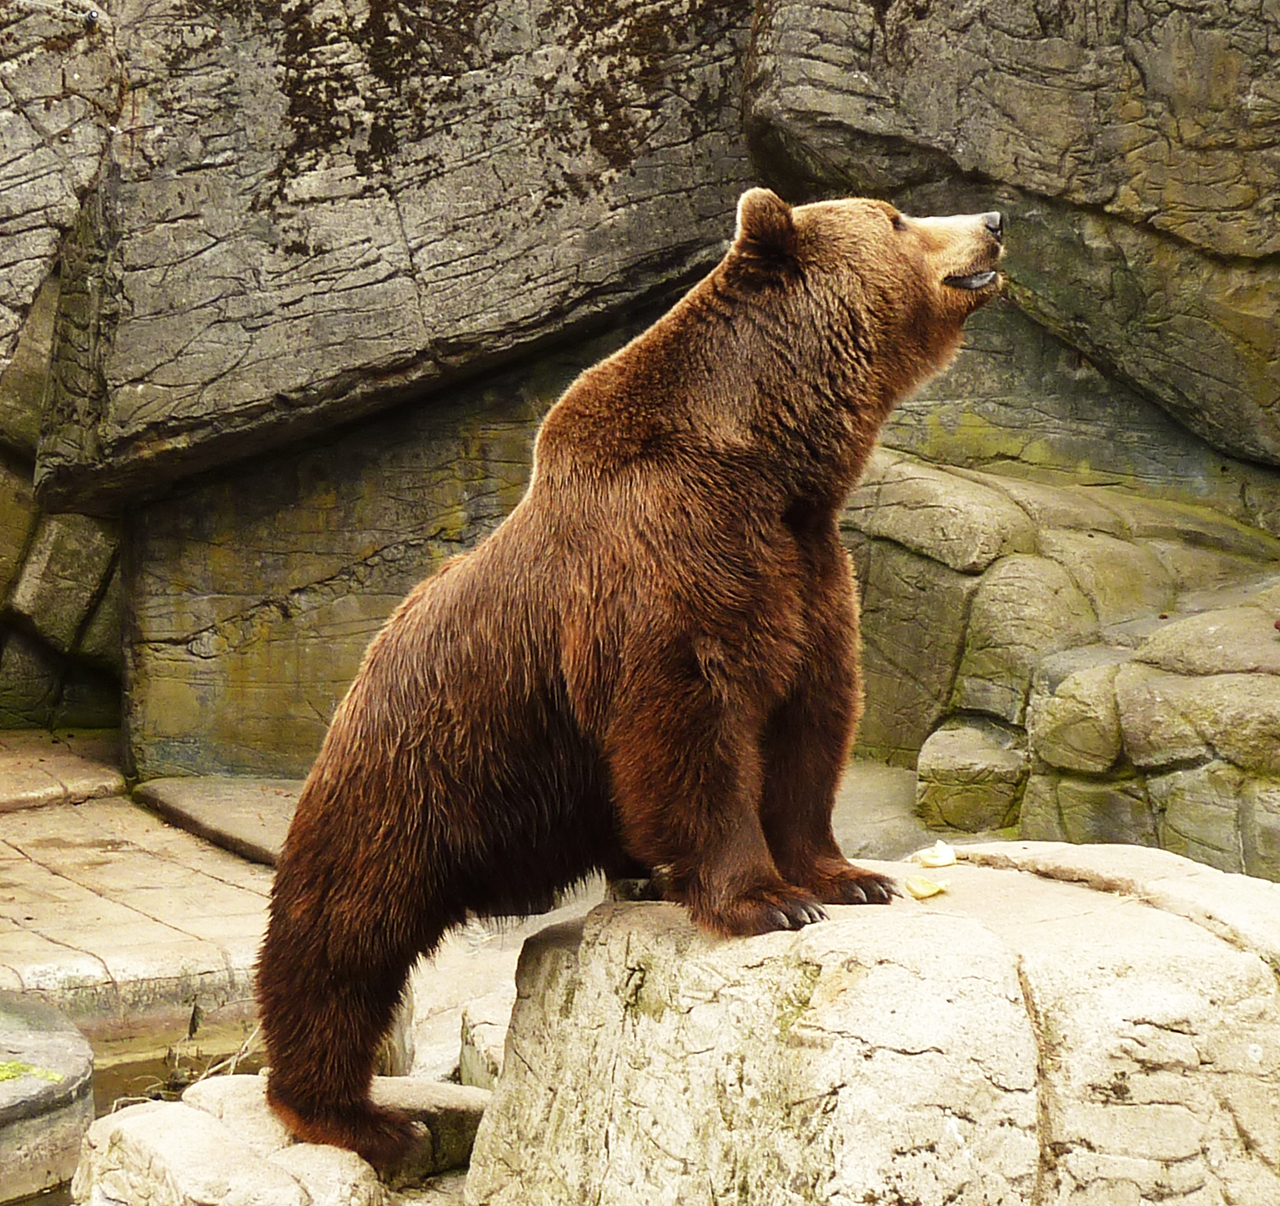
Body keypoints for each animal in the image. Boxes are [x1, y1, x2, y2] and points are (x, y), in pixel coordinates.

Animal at [257, 189, 998, 1172]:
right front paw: (768, 900)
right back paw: (362, 1118)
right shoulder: (662, 573)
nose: (994, 223)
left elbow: (810, 725)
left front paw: (849, 876)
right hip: (413, 779)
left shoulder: (805, 574)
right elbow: (690, 730)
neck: (772, 462)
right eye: (895, 219)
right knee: (342, 940)